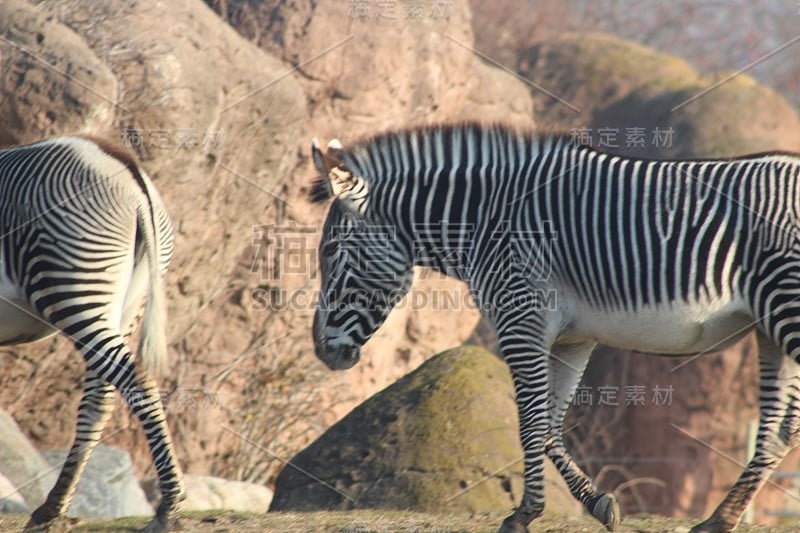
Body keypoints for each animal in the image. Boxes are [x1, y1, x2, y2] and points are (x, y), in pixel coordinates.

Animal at [0, 138, 184, 532]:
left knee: (135, 381)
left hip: (76, 285)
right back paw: (51, 509)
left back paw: (169, 507)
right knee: (102, 396)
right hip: (127, 300)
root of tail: (125, 168)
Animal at [308, 122, 800, 528]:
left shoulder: (520, 318)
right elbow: (547, 424)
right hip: (769, 327)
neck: (485, 219)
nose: (321, 351)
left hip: (785, 309)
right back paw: (719, 519)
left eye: (330, 251)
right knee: (779, 430)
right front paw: (599, 503)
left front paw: (524, 514)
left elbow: (529, 421)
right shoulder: (573, 337)